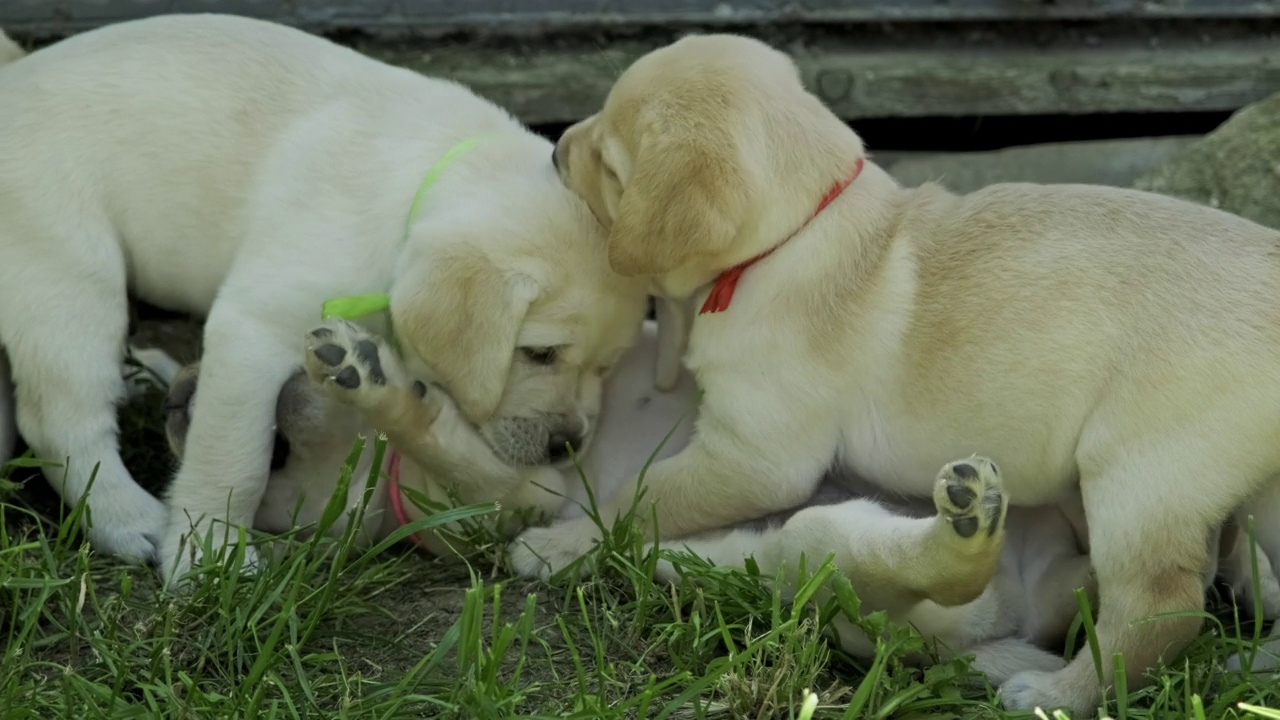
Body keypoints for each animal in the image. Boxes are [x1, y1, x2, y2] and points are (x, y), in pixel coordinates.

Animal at [0, 14, 645, 579]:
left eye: (608, 367)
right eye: (539, 354)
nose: (568, 446)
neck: (417, 188)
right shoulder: (254, 330)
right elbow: (233, 459)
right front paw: (208, 555)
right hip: (68, 272)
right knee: (60, 418)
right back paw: (127, 518)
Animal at [514, 32, 1280, 712]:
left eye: (609, 162)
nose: (553, 147)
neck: (799, 233)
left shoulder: (753, 460)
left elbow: (636, 501)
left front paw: (559, 544)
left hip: (1139, 476)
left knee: (1164, 607)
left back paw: (1059, 693)